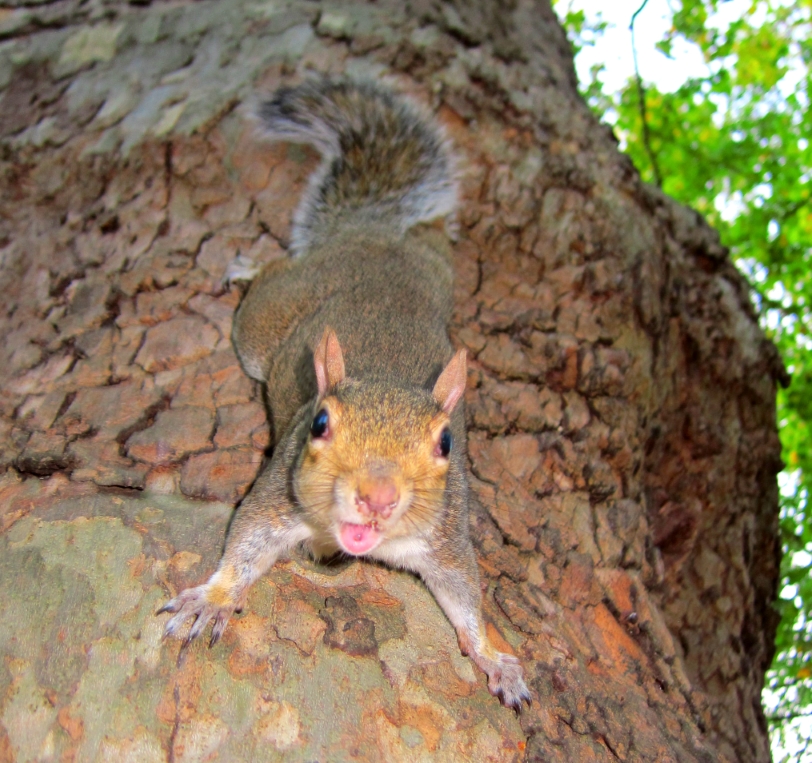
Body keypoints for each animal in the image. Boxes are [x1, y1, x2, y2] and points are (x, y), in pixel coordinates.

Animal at [160, 77, 532, 712]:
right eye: (319, 424)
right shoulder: (278, 494)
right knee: (275, 276)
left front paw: (493, 658)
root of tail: (373, 240)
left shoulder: (445, 537)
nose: (377, 498)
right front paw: (214, 599)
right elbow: (247, 542)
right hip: (263, 325)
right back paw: (252, 265)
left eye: (446, 443)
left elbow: (464, 595)